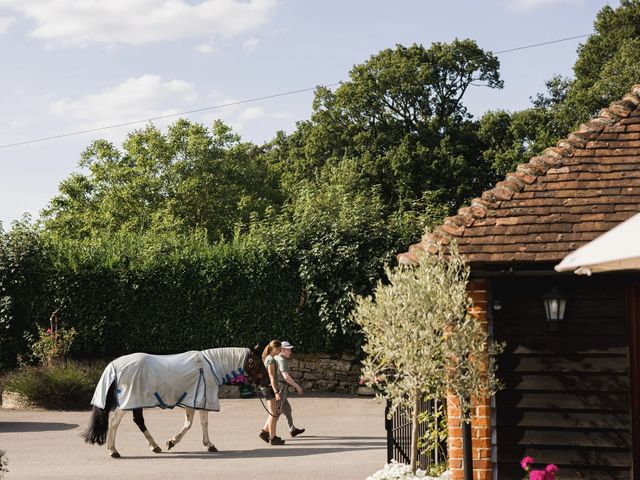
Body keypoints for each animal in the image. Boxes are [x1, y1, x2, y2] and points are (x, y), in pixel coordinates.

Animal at [82, 344, 268, 458]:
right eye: (258, 362)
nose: (267, 383)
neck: (210, 367)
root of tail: (114, 365)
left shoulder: (194, 400)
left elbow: (193, 423)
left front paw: (179, 442)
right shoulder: (200, 399)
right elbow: (196, 424)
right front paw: (203, 444)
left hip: (137, 401)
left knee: (139, 421)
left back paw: (154, 446)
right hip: (129, 401)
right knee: (114, 421)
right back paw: (113, 450)